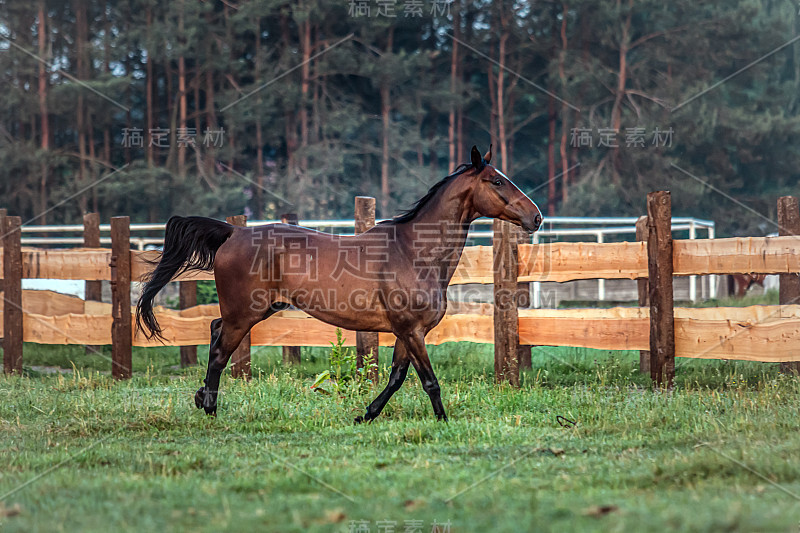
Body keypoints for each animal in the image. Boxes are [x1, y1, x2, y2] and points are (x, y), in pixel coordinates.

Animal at [138, 144, 540, 420]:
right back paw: (210, 408)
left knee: (213, 329)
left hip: (253, 310)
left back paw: (201, 397)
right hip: (244, 315)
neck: (413, 252)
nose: (536, 217)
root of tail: (234, 231)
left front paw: (366, 415)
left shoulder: (406, 332)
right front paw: (443, 422)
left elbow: (396, 377)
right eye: (496, 181)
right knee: (221, 351)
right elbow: (428, 381)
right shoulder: (410, 329)